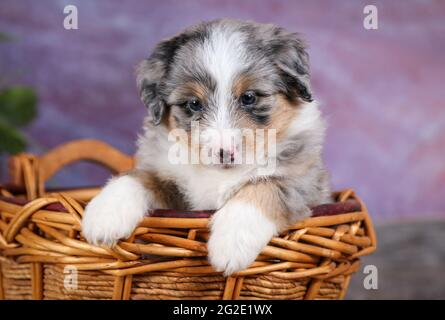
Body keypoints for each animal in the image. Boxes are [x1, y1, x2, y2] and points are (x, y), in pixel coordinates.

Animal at [80, 19, 330, 276]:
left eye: (249, 97)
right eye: (193, 103)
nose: (224, 153)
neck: (220, 175)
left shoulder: (304, 179)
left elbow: (265, 187)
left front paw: (230, 243)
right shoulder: (171, 184)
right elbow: (140, 177)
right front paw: (104, 214)